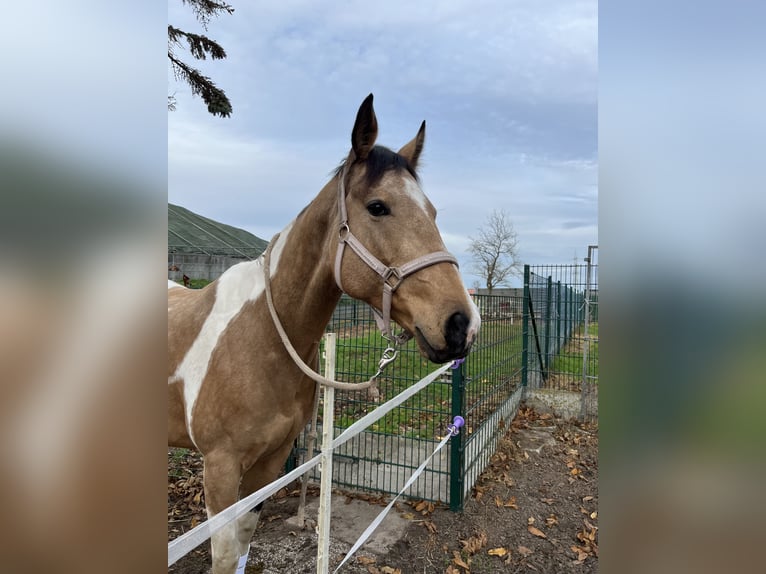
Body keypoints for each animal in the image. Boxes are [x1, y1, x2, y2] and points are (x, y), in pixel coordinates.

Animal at [168, 94, 481, 574]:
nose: (462, 322)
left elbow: (243, 549)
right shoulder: (219, 468)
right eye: (377, 206)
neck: (263, 334)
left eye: (431, 212)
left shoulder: (269, 463)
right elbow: (224, 556)